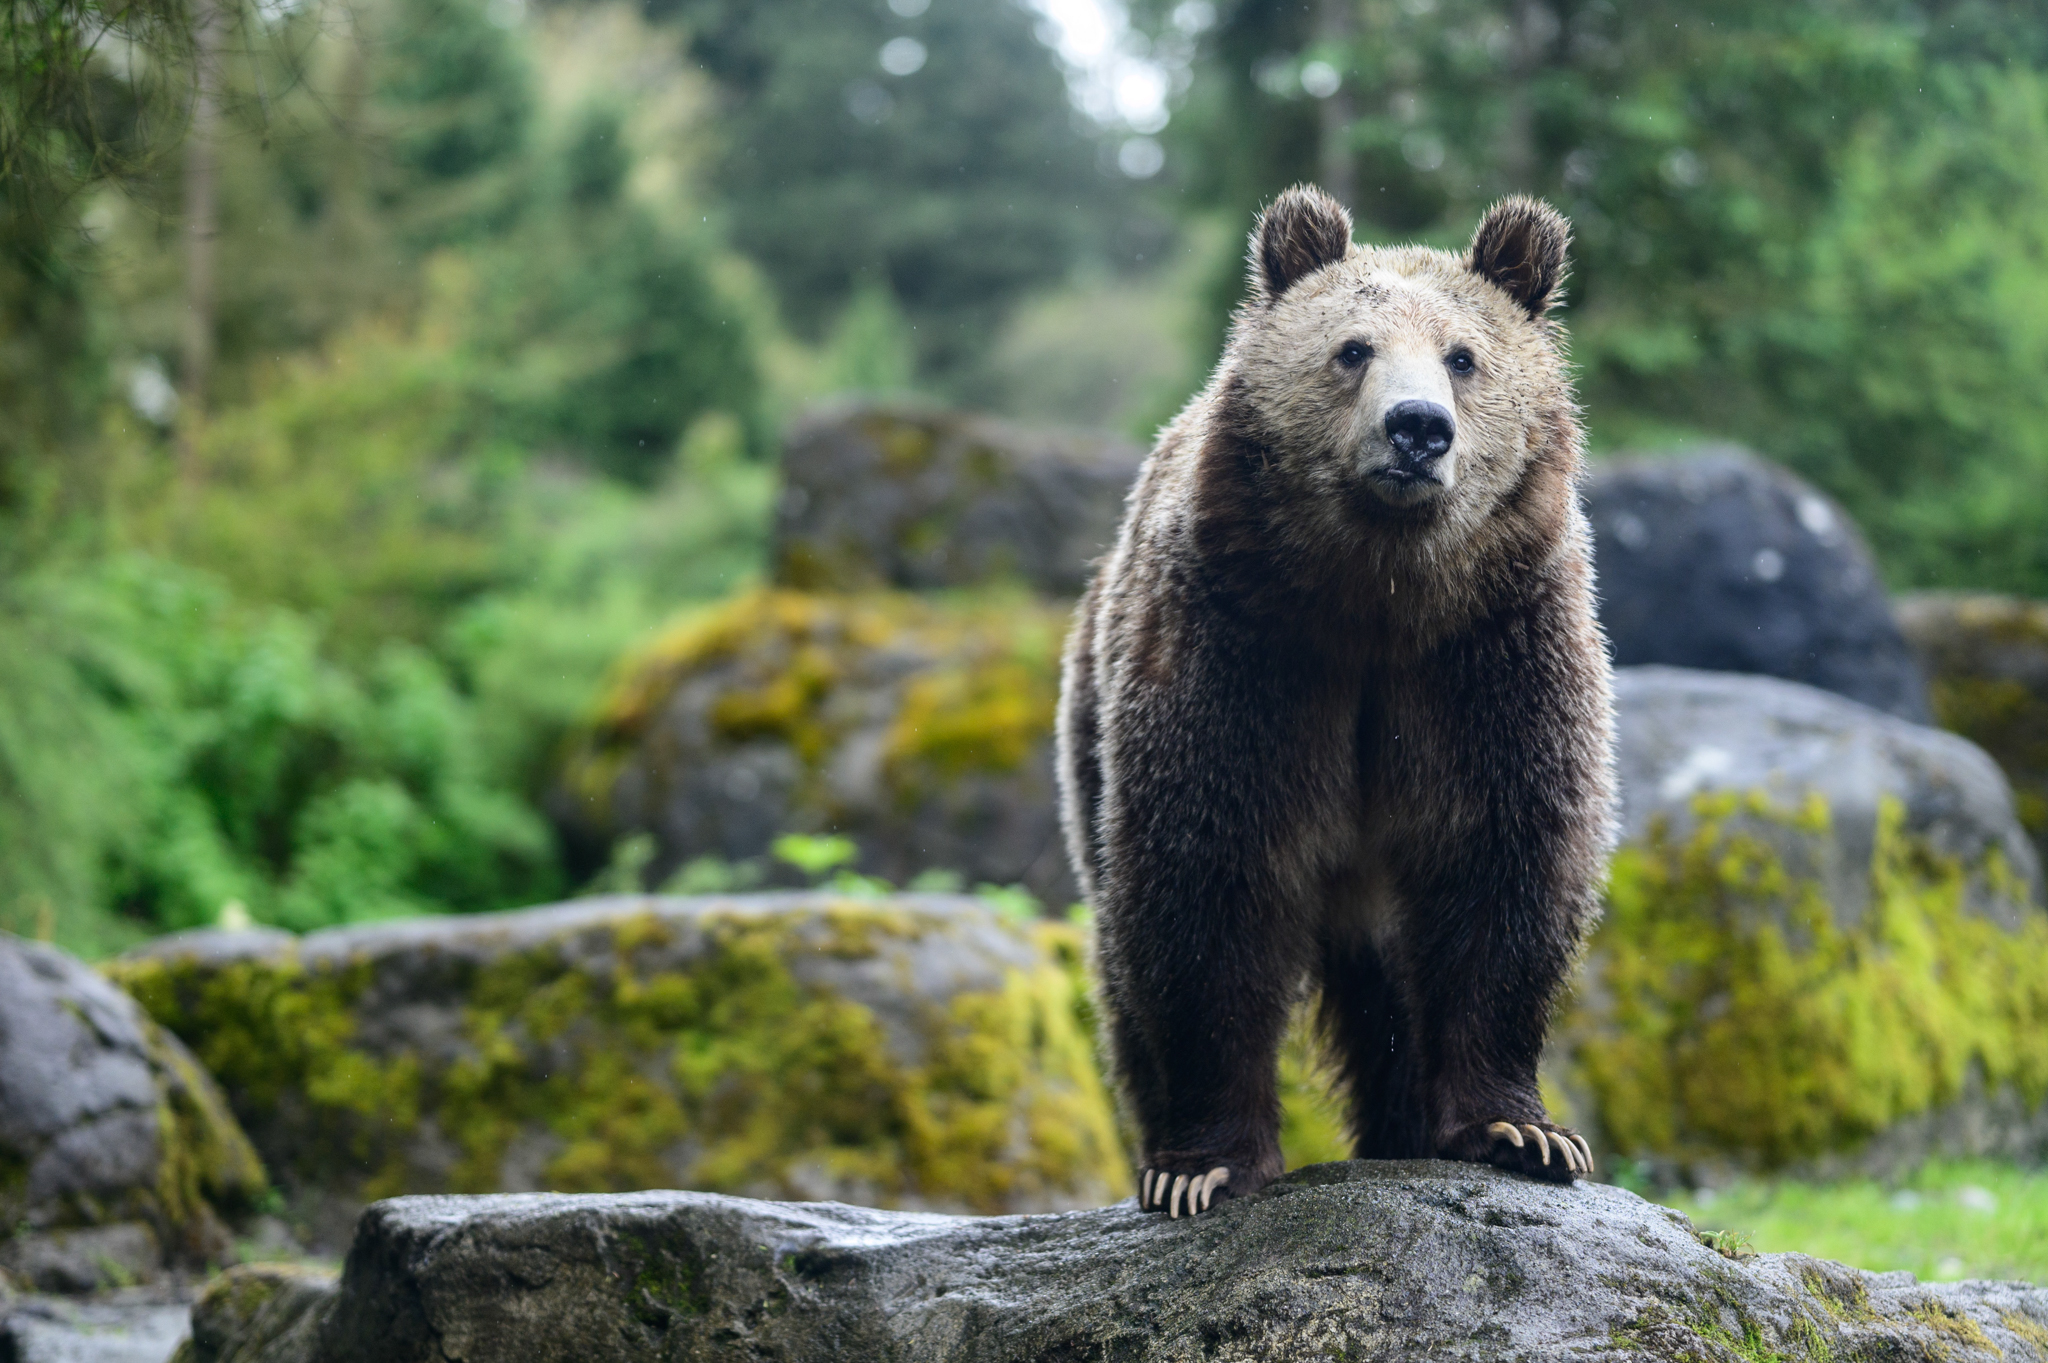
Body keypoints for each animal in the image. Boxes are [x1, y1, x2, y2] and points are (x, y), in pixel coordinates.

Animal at [1055, 185, 1617, 1217]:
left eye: (1463, 356)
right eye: (1353, 347)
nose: (1417, 427)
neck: (1378, 601)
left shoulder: (1491, 659)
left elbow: (1506, 861)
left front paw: (1521, 1131)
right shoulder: (1246, 656)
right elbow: (1207, 880)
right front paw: (1204, 1164)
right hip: (1090, 729)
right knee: (1119, 955)